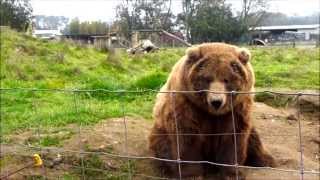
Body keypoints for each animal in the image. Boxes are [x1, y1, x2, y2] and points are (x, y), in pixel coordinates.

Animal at [148, 43, 276, 179]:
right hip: (160, 131)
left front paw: (232, 173)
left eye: (226, 79)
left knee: (253, 139)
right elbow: (187, 138)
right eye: (207, 79)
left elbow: (232, 137)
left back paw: (266, 160)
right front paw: (192, 174)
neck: (212, 113)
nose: (216, 101)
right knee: (162, 146)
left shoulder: (236, 109)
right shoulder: (187, 104)